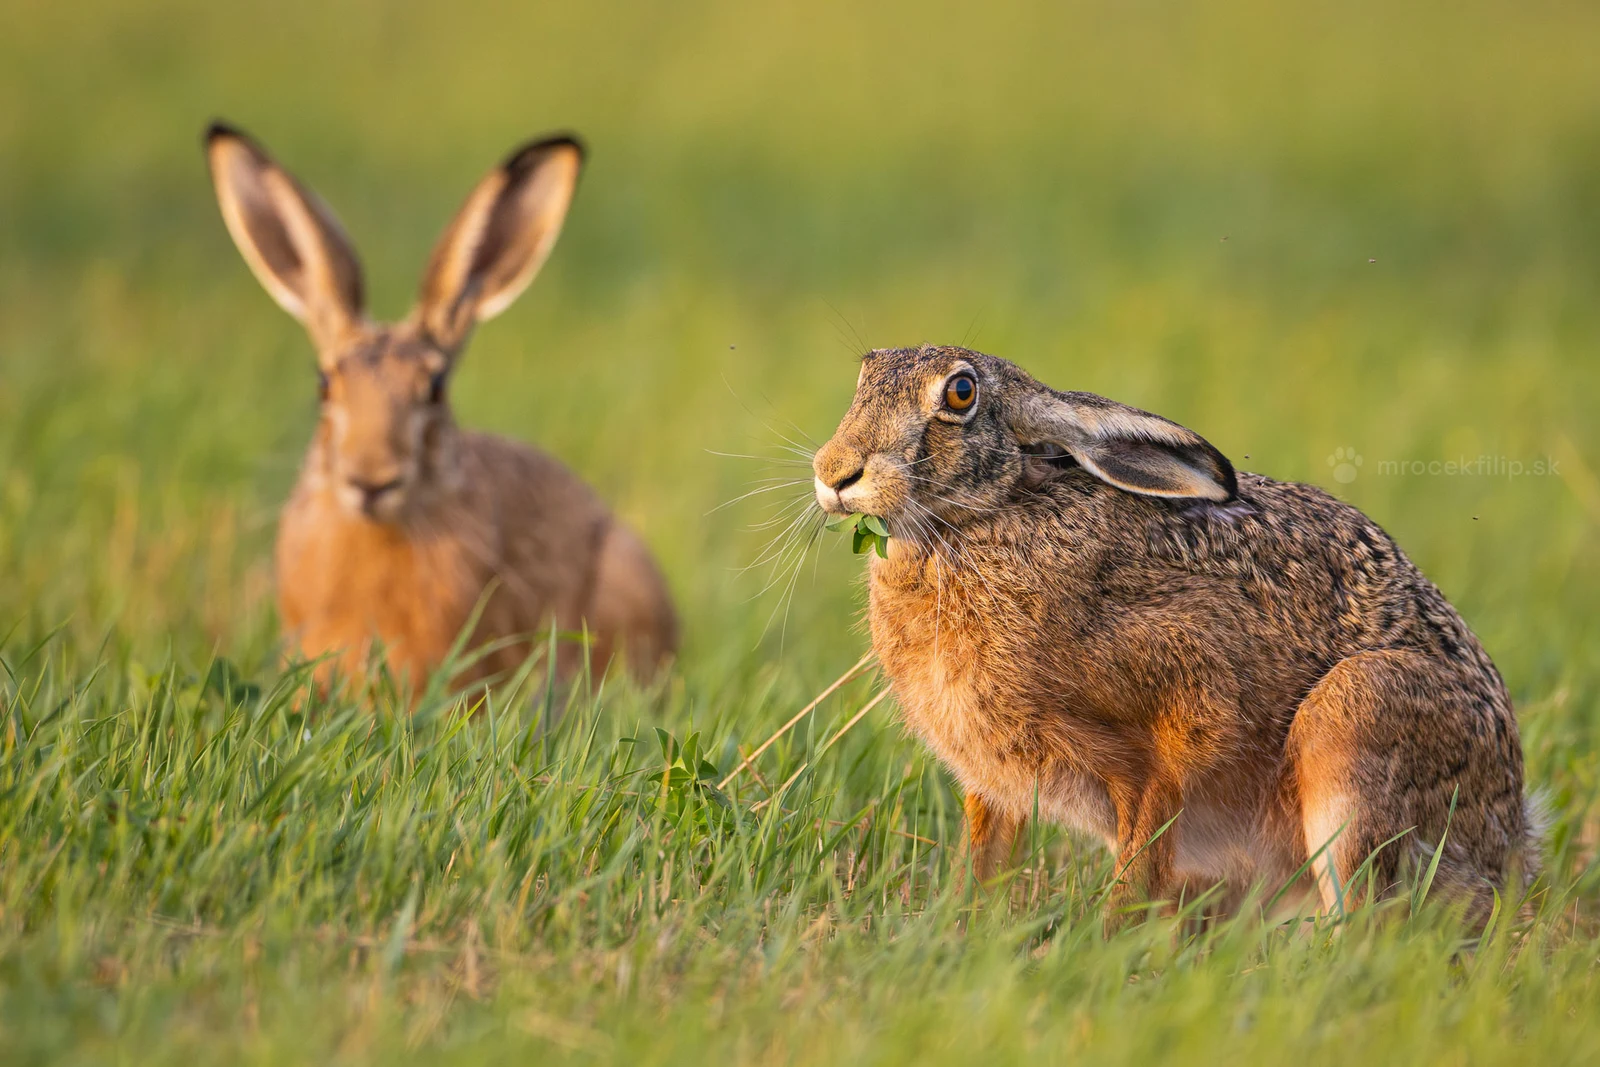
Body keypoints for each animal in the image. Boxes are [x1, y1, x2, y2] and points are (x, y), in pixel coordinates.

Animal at [811, 344, 1537, 930]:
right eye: (865, 374)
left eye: (961, 393)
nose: (834, 471)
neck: (985, 518)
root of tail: (1510, 839)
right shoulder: (994, 783)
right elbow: (984, 861)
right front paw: (959, 930)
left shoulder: (1176, 724)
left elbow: (1143, 853)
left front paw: (1103, 945)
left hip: (1359, 718)